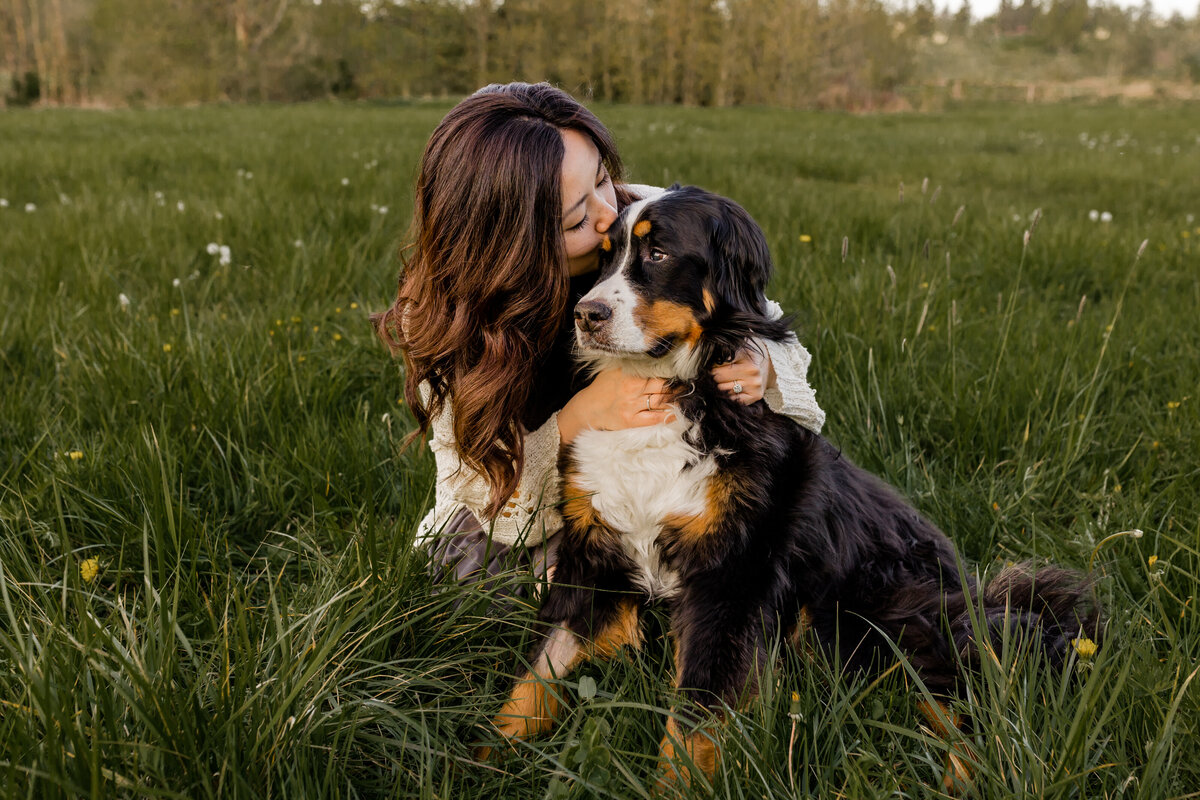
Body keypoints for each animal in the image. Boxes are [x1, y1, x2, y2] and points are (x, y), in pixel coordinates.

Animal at [477, 184, 1099, 786]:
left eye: (658, 253)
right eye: (603, 257)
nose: (587, 314)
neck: (671, 393)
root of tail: (974, 585)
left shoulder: (731, 577)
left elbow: (693, 718)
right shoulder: (593, 557)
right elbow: (534, 676)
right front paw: (484, 759)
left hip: (895, 615)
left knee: (970, 708)